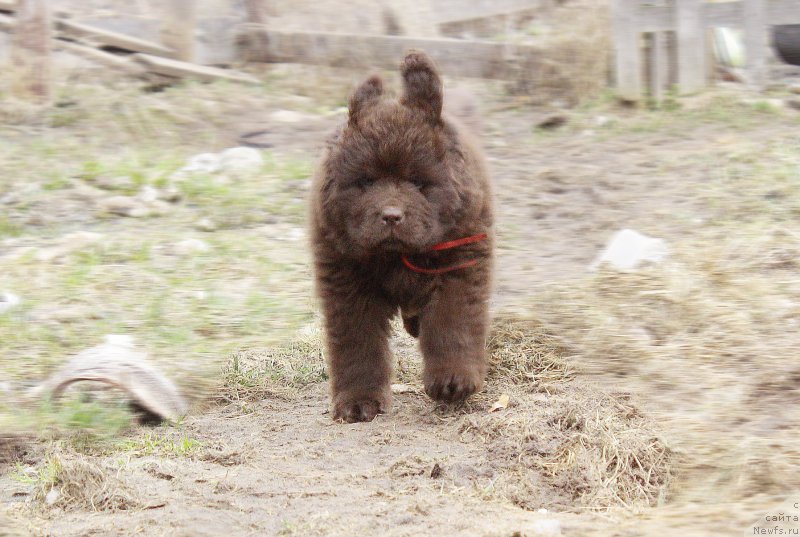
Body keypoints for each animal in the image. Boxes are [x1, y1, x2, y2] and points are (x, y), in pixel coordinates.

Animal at [310, 50, 494, 422]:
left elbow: (452, 324)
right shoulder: (346, 280)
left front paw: (453, 383)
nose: (391, 216)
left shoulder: (459, 264)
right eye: (366, 181)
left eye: (418, 181)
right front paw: (357, 403)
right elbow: (357, 343)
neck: (396, 255)